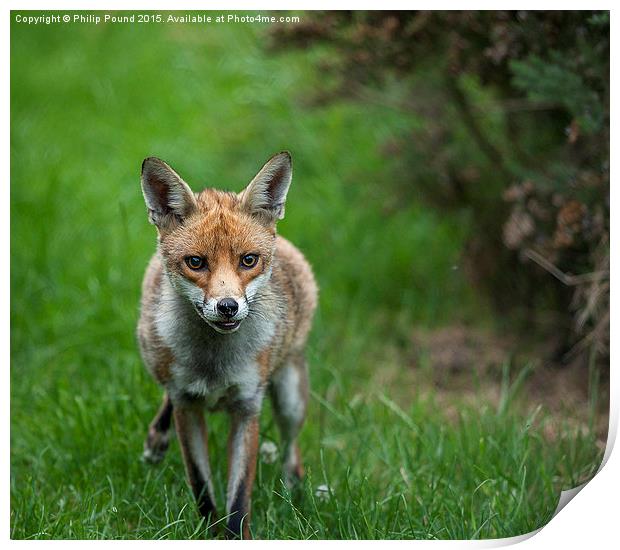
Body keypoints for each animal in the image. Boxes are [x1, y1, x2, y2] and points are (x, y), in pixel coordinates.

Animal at [137, 153, 318, 540]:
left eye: (248, 260)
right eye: (196, 262)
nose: (228, 307)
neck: (214, 366)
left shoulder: (248, 408)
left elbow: (239, 501)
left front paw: (236, 535)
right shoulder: (187, 406)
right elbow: (202, 486)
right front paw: (207, 529)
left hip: (290, 397)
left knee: (291, 449)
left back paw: (295, 492)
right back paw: (156, 440)